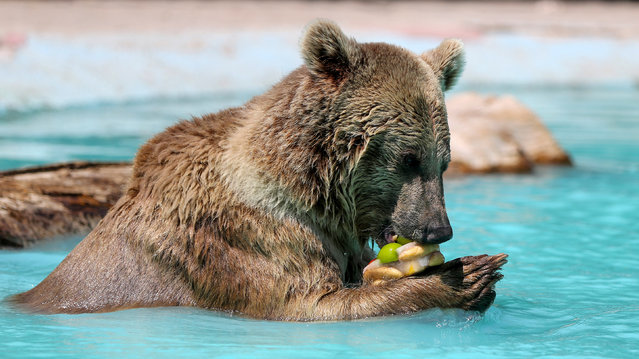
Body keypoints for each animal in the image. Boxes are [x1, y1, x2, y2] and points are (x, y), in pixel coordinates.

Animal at [11, 21, 504, 322]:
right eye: (407, 158)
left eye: (443, 161)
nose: (438, 228)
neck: (313, 186)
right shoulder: (253, 234)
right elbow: (312, 303)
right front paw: (469, 275)